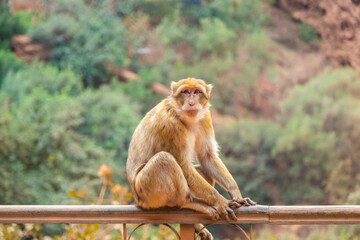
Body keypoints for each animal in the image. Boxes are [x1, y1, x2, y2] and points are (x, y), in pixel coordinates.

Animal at [126, 78, 253, 239]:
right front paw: (221, 201)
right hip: (146, 192)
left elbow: (207, 156)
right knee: (164, 159)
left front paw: (236, 193)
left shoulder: (205, 117)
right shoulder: (171, 125)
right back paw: (187, 203)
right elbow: (183, 165)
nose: (192, 102)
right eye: (186, 92)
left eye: (197, 92)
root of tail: (137, 199)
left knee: (202, 170)